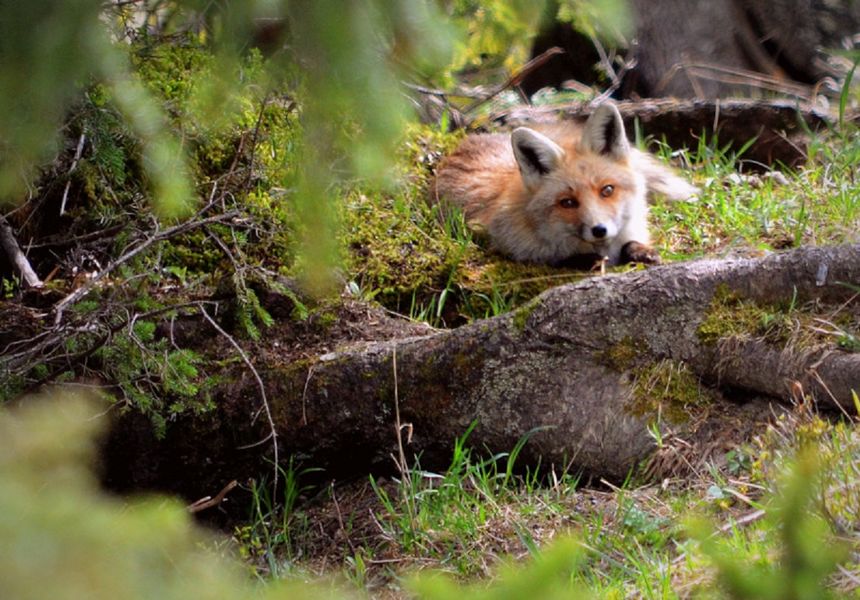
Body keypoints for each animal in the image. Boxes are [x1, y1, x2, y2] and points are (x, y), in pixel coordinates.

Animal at [431, 102, 697, 266]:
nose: (599, 229)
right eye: (567, 202)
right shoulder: (499, 242)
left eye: (607, 190)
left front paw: (642, 251)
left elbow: (631, 243)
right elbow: (560, 257)